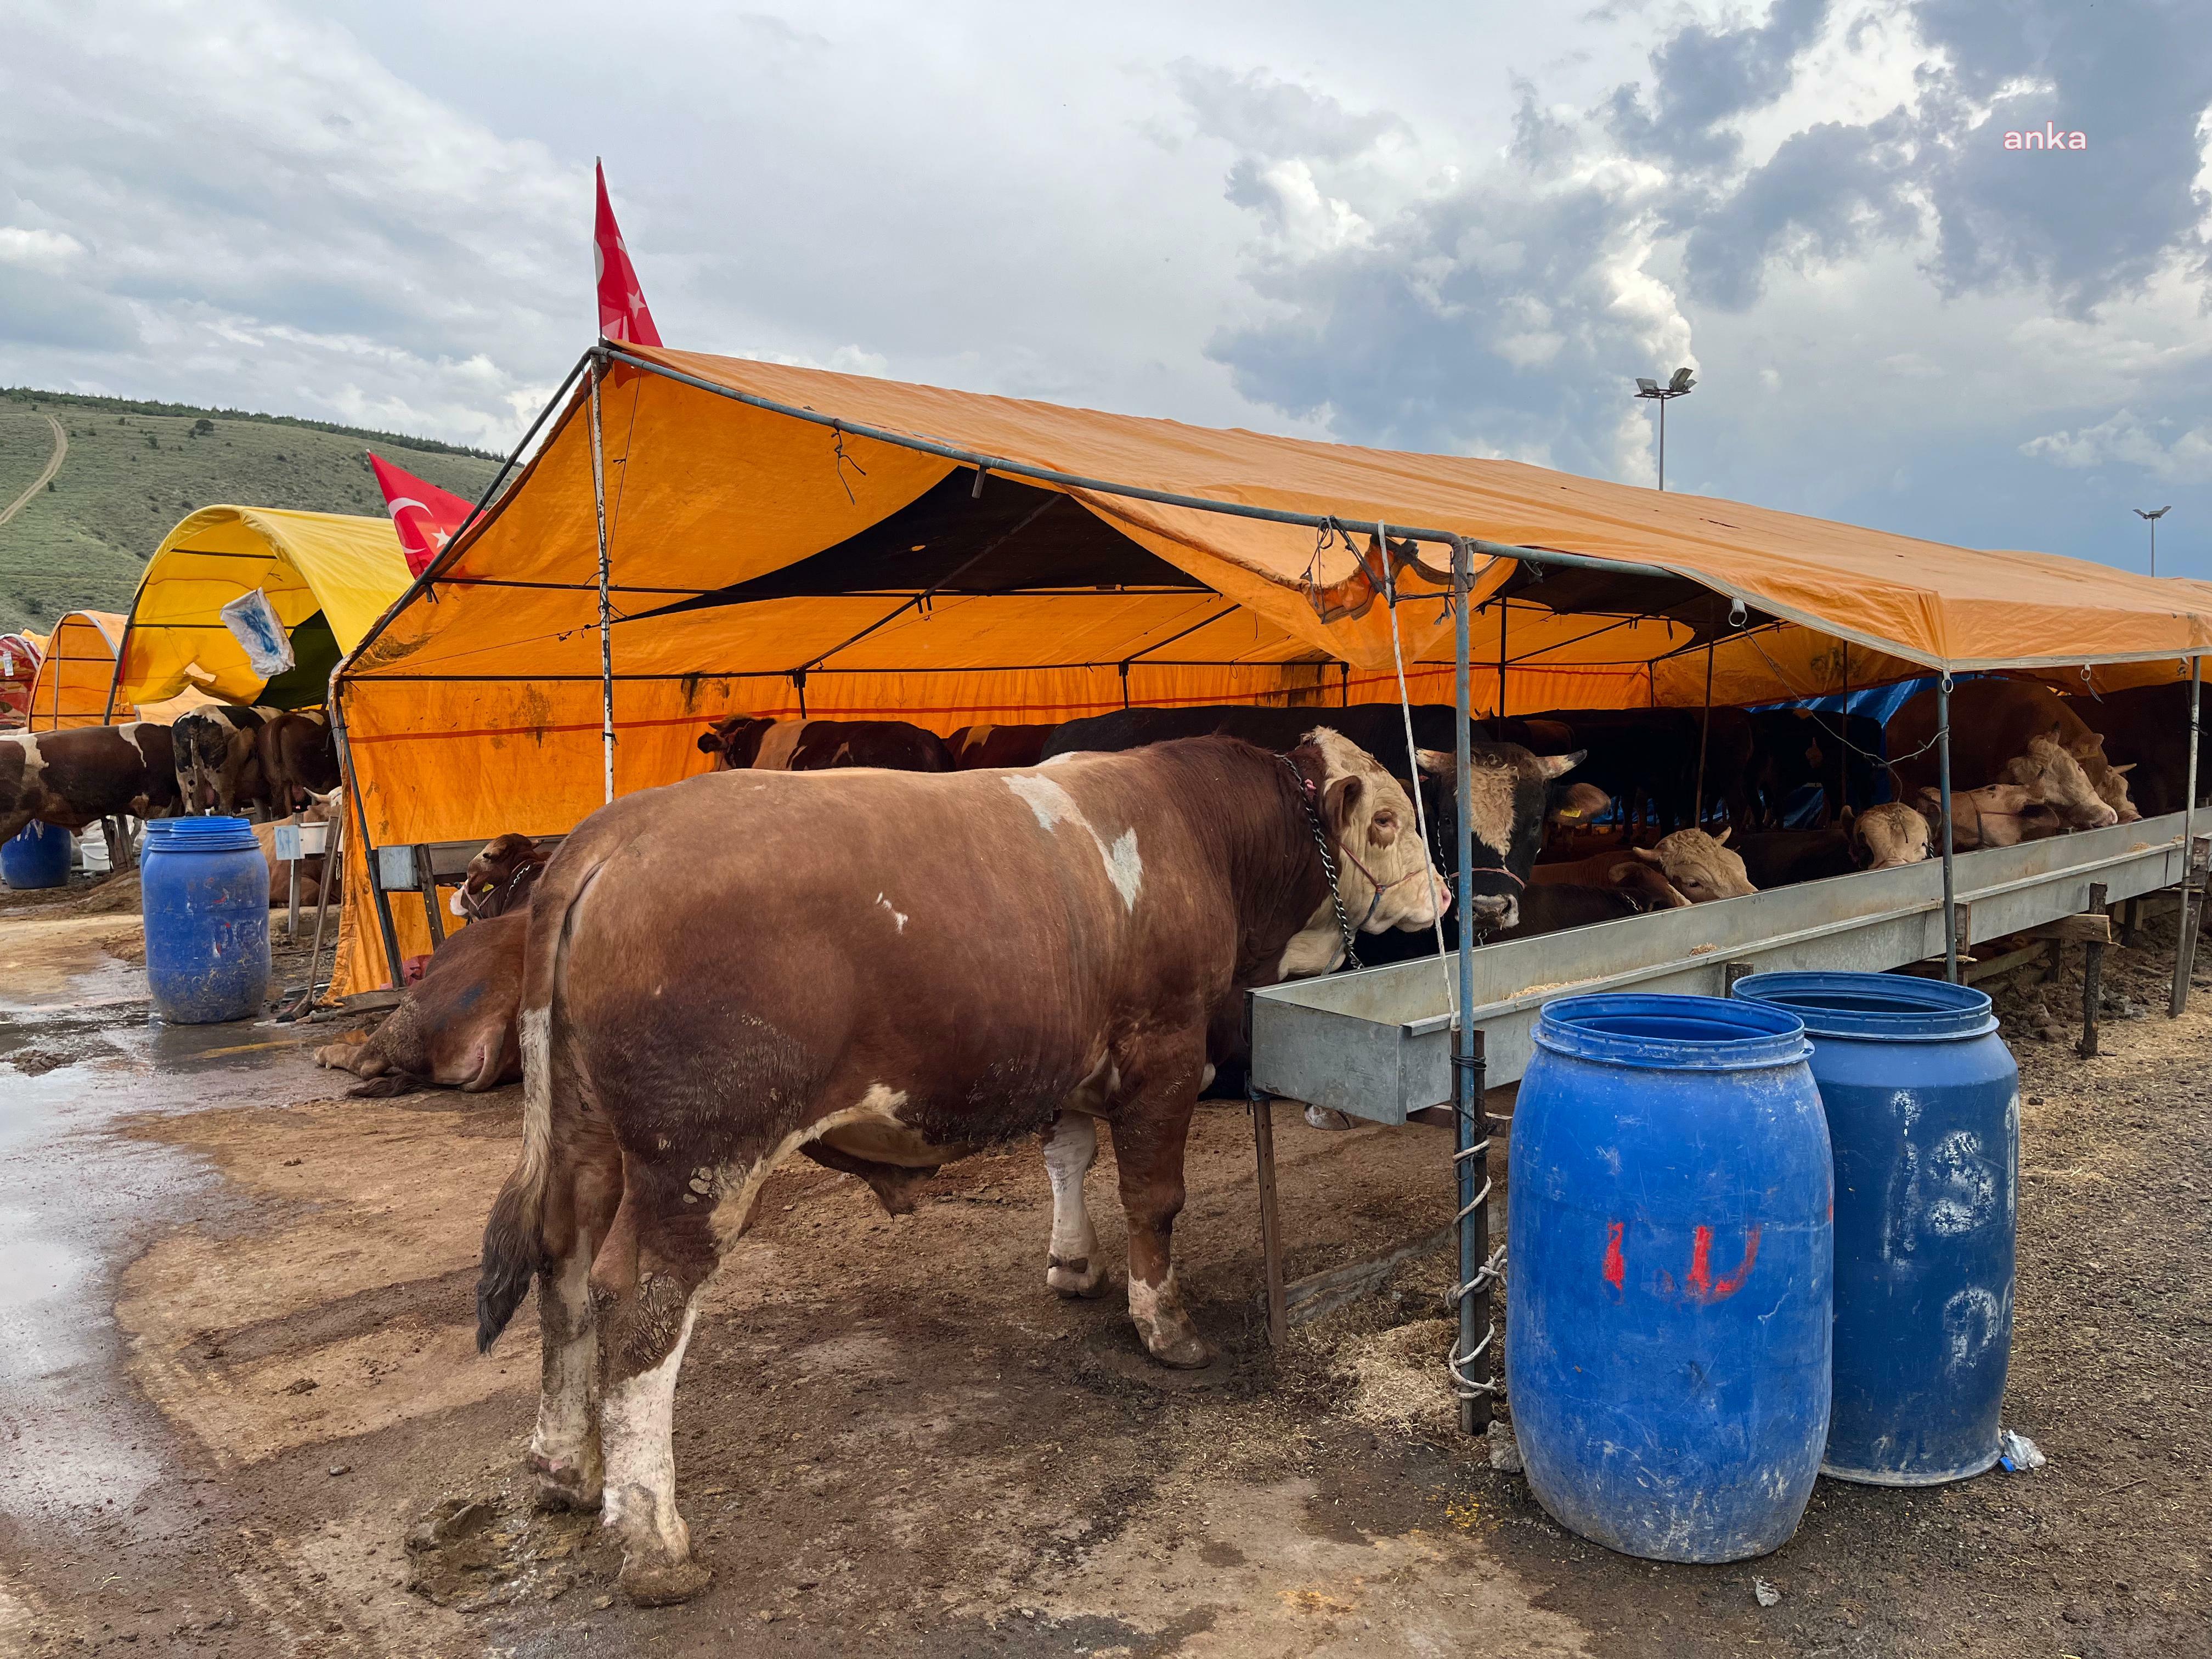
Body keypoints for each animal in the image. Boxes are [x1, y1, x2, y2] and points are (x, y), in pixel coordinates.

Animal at [475, 730, 1442, 1610]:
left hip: (584, 1137)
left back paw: (564, 1466)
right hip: (700, 1156)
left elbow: (1069, 1155)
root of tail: (614, 834)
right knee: (641, 1306)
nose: (1442, 892)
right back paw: (656, 1543)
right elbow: (1154, 1198)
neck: (1199, 833)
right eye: (1389, 820)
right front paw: (1165, 1325)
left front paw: (1074, 1265)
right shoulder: (1164, 1048)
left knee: (562, 1270)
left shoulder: (1066, 1059)